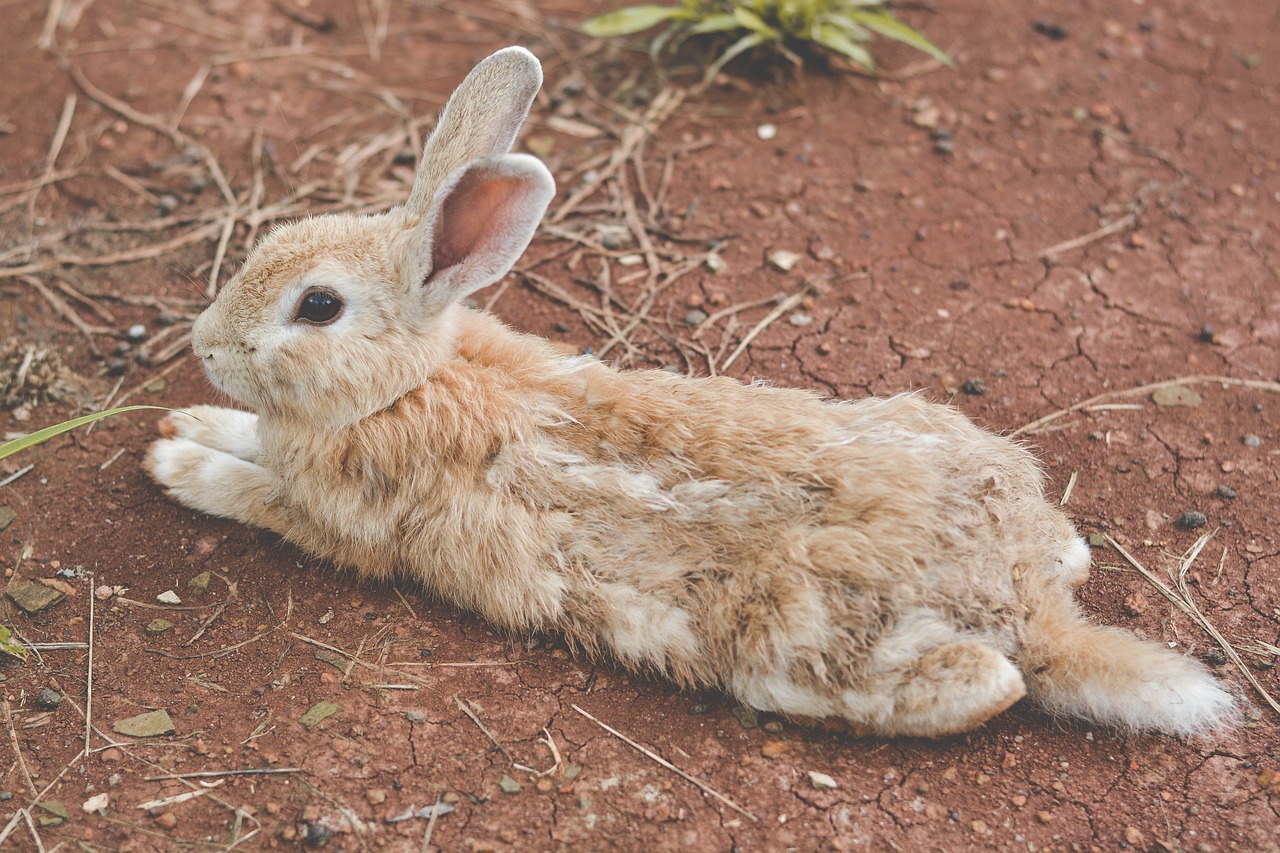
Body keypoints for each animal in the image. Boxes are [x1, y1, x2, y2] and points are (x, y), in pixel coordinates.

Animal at [145, 48, 1233, 737]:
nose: (205, 345)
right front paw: (191, 419)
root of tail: (1026, 606)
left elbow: (251, 491)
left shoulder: (337, 520)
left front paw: (175, 457)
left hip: (804, 652)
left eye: (318, 306)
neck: (406, 381)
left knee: (986, 687)